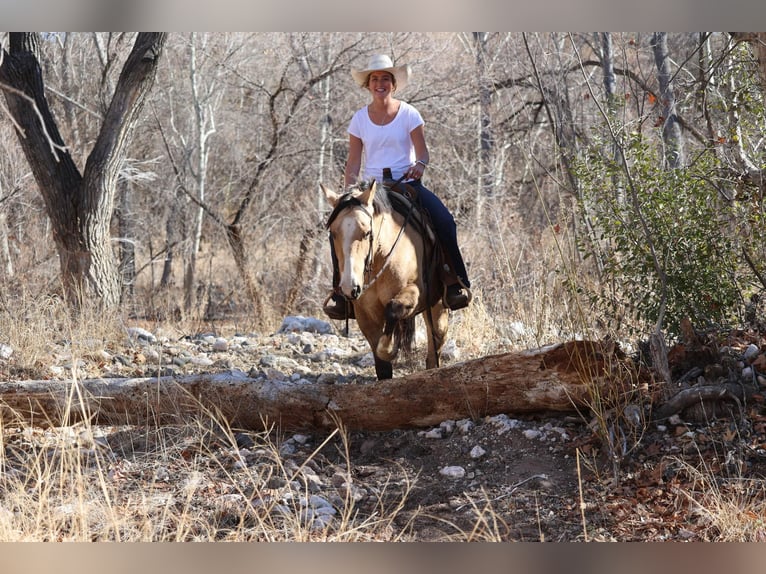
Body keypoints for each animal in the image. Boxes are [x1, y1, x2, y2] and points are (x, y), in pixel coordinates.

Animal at [321, 179, 449, 380]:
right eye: (333, 233)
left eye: (367, 232)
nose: (350, 288)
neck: (379, 260)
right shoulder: (365, 313)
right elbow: (382, 367)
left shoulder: (416, 292)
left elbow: (393, 308)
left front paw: (389, 349)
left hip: (437, 310)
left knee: (434, 349)